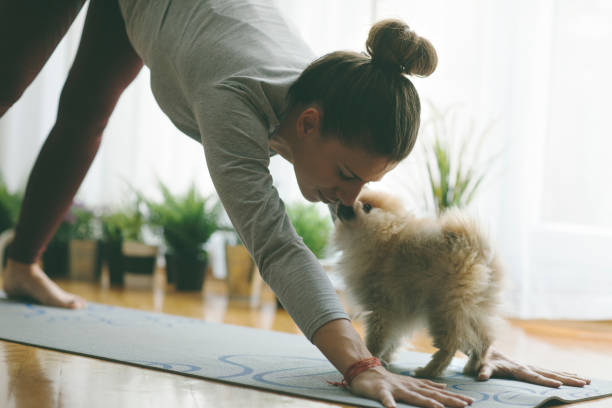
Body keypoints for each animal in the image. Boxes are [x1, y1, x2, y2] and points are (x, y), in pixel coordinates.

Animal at [332, 190, 504, 378]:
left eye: (367, 207)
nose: (342, 202)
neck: (384, 235)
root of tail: (476, 248)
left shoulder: (381, 307)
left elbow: (378, 337)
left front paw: (372, 354)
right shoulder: (398, 311)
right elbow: (394, 338)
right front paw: (386, 357)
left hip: (443, 307)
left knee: (450, 344)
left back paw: (428, 371)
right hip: (475, 307)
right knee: (485, 339)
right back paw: (472, 366)